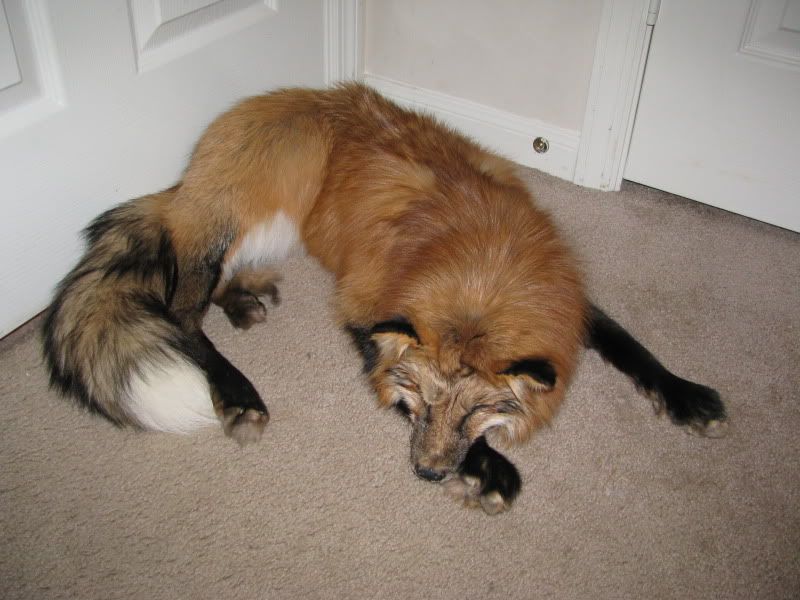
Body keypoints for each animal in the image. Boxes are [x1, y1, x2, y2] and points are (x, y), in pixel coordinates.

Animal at [42, 83, 727, 514]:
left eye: (477, 411)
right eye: (420, 400)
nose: (427, 474)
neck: (484, 261)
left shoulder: (564, 298)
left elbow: (628, 343)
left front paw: (684, 394)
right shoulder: (368, 310)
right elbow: (385, 373)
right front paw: (492, 471)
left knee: (210, 287)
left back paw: (242, 300)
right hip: (275, 187)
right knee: (183, 311)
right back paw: (238, 392)